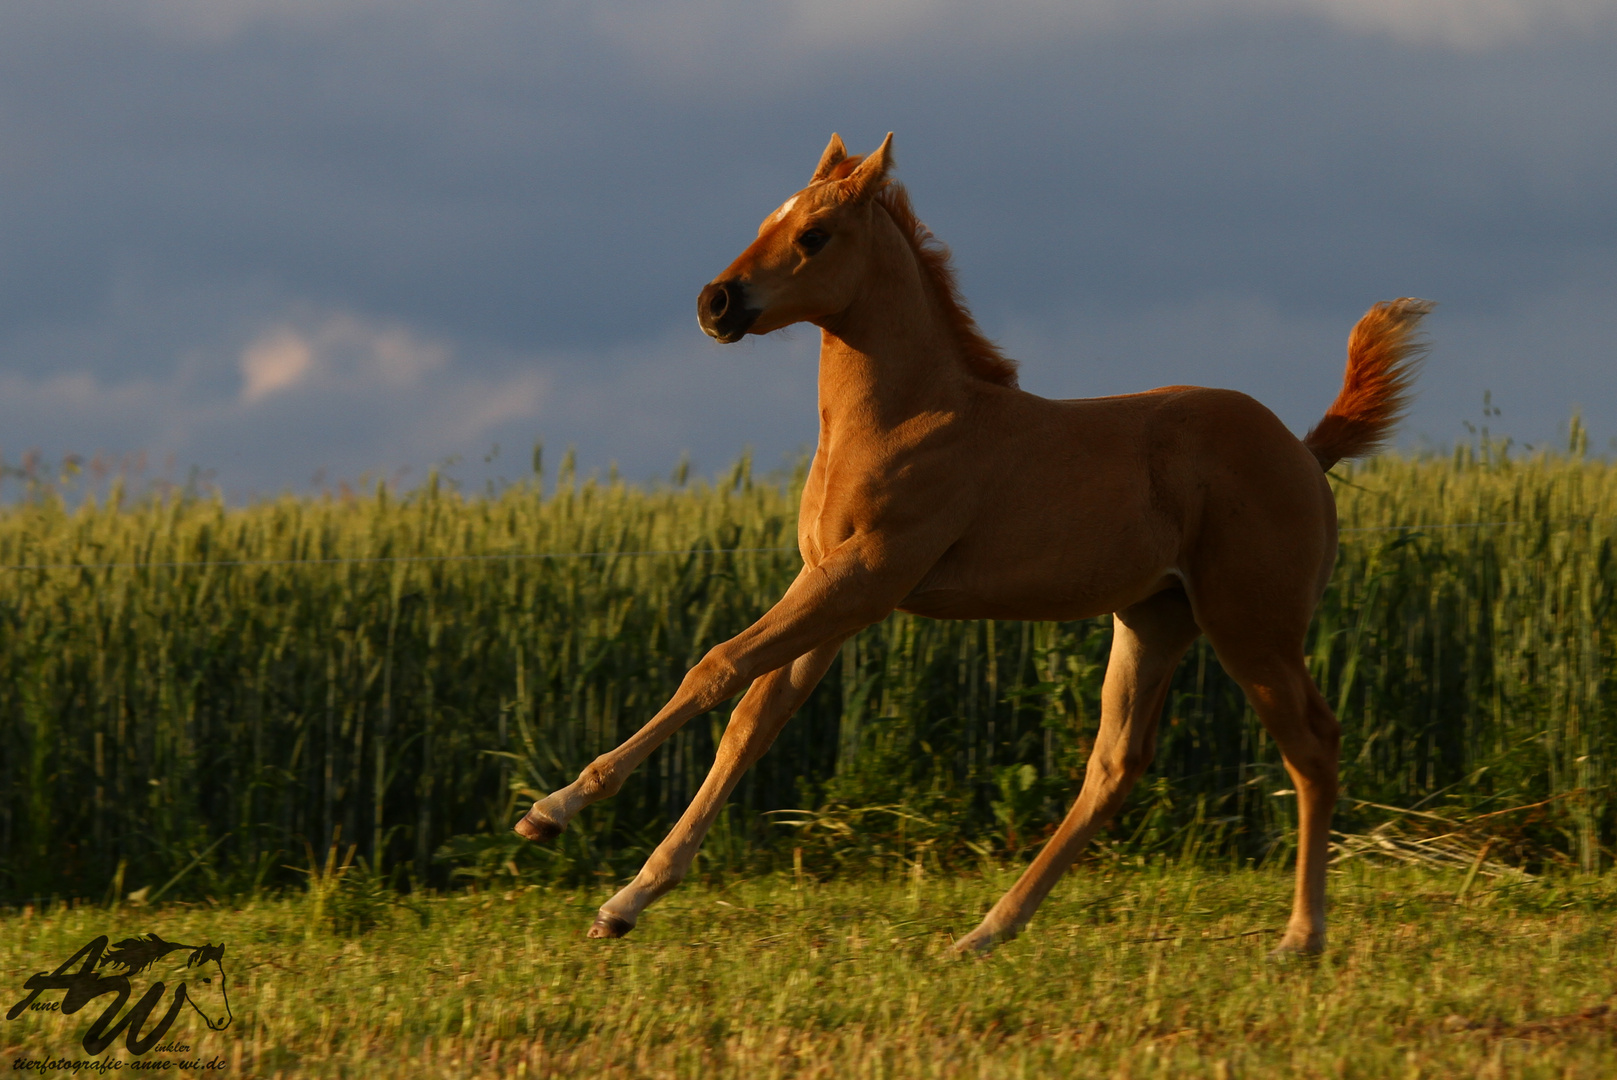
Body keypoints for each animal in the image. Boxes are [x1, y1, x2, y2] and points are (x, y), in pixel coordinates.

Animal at [517, 132, 1429, 950]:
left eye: (814, 236)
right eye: (766, 220)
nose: (716, 304)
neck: (904, 417)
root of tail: (1304, 450)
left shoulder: (862, 578)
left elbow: (715, 669)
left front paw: (551, 812)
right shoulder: (830, 592)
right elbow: (751, 718)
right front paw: (622, 902)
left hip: (1252, 626)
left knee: (1310, 748)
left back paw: (1299, 937)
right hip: (1154, 619)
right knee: (1113, 768)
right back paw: (986, 931)